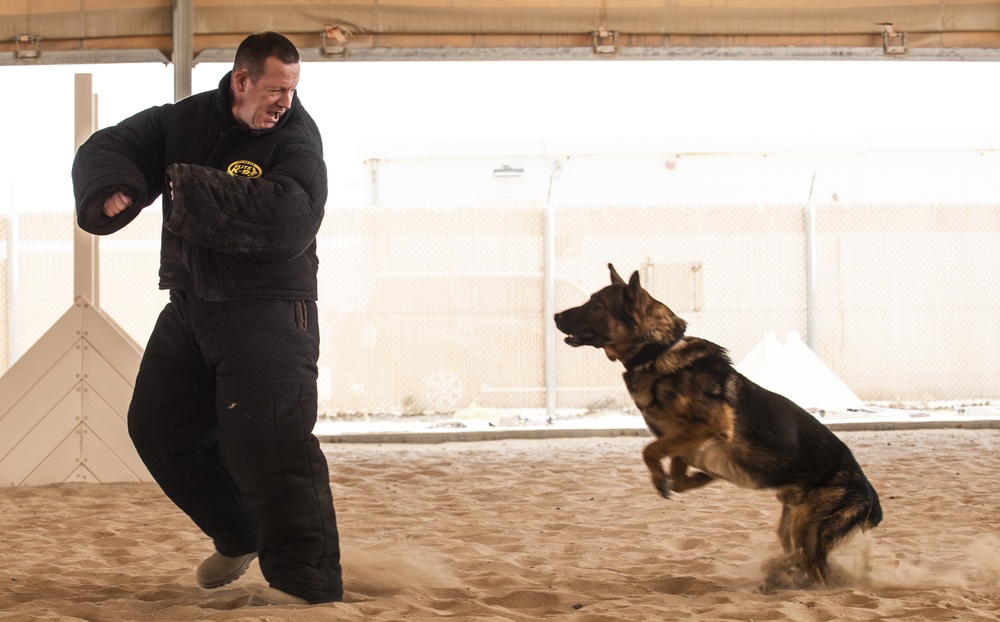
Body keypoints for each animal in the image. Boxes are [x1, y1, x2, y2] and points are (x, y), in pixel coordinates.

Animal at [556, 266, 884, 592]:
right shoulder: (683, 439)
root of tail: (868, 492)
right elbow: (676, 469)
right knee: (808, 562)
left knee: (818, 573)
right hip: (791, 525)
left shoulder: (710, 424)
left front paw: (662, 480)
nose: (556, 316)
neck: (657, 351)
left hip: (807, 529)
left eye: (598, 305)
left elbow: (650, 451)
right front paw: (695, 479)